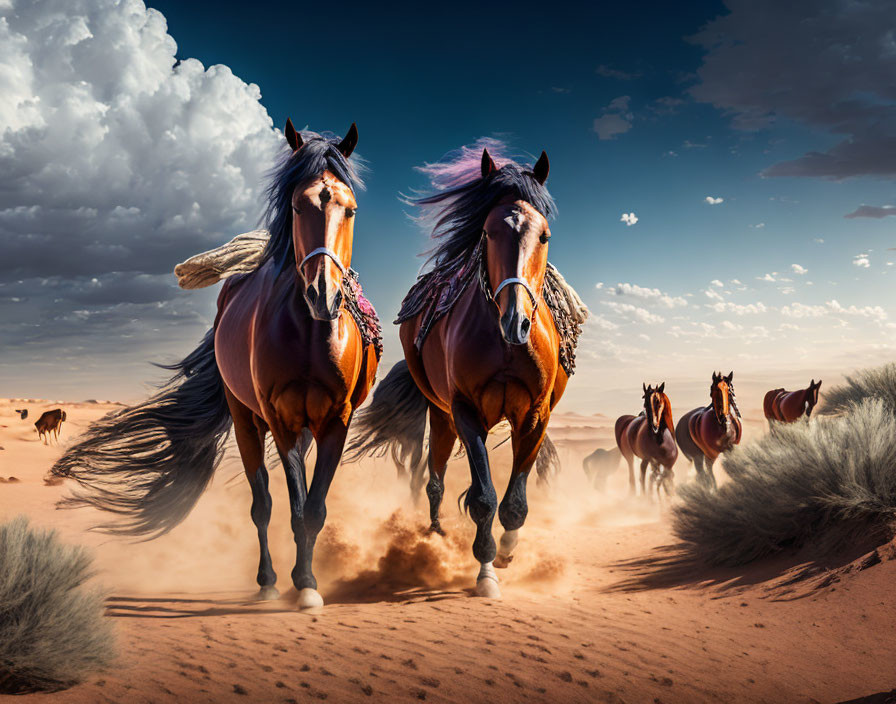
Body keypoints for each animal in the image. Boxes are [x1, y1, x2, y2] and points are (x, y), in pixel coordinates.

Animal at [51, 122, 378, 612]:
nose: (323, 295)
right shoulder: (280, 420)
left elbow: (315, 508)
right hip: (247, 421)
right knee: (261, 504)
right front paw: (301, 584)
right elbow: (291, 506)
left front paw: (307, 583)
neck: (309, 334)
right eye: (298, 205)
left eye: (351, 209)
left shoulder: (337, 420)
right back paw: (267, 581)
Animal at [344, 144, 576, 600]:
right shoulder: (467, 411)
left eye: (544, 235)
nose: (516, 323)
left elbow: (515, 503)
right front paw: (485, 571)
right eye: (488, 232)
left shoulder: (535, 416)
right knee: (433, 477)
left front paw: (506, 554)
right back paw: (434, 533)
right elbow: (483, 497)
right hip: (442, 413)